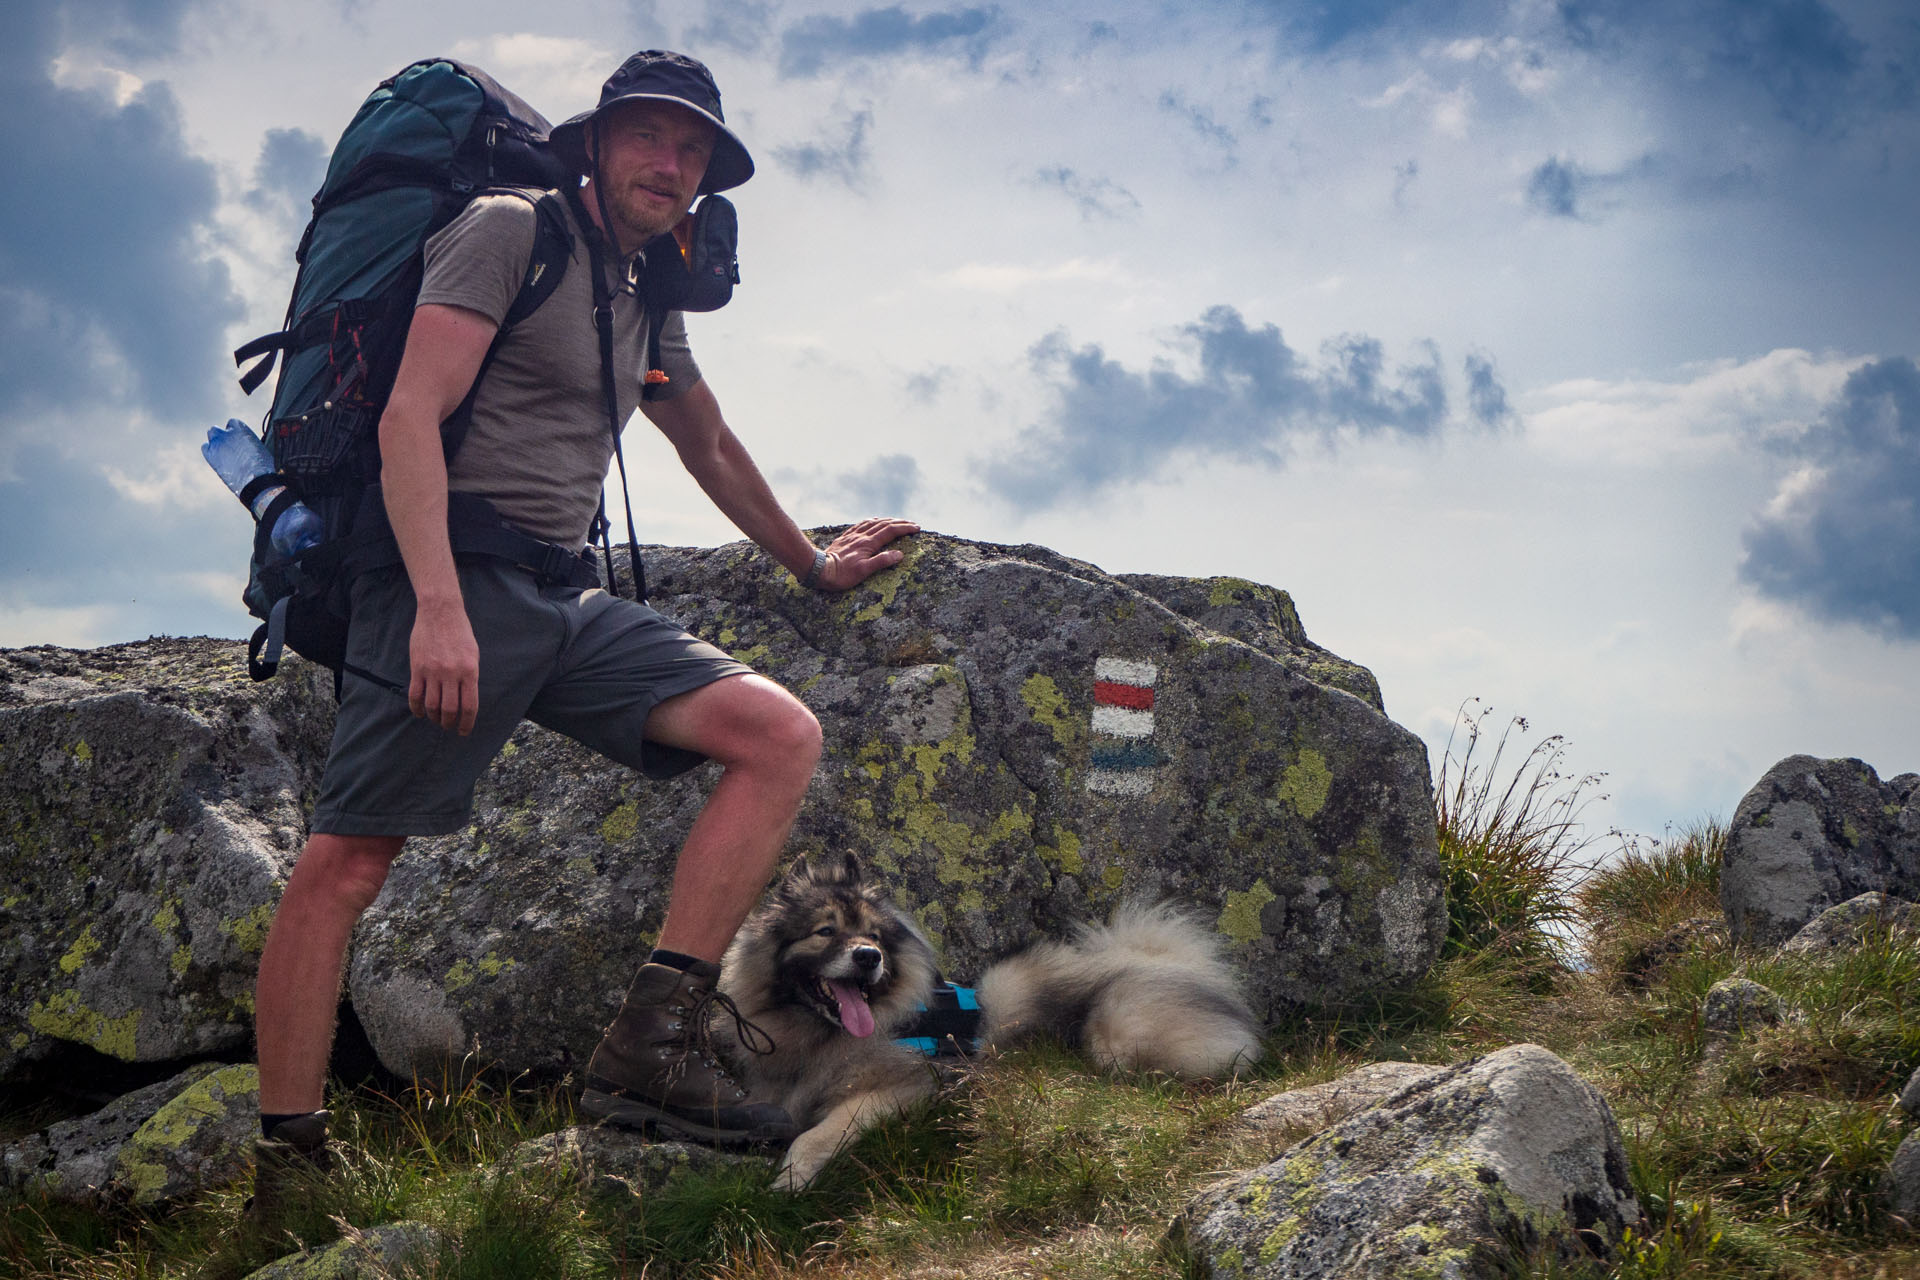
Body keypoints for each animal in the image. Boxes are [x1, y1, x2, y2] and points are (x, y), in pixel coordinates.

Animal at [718, 852, 1259, 1189]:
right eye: (825, 931)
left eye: (873, 935)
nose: (869, 957)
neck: (819, 1036)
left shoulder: (910, 1086)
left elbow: (818, 1133)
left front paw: (790, 1177)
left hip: (1118, 1033)